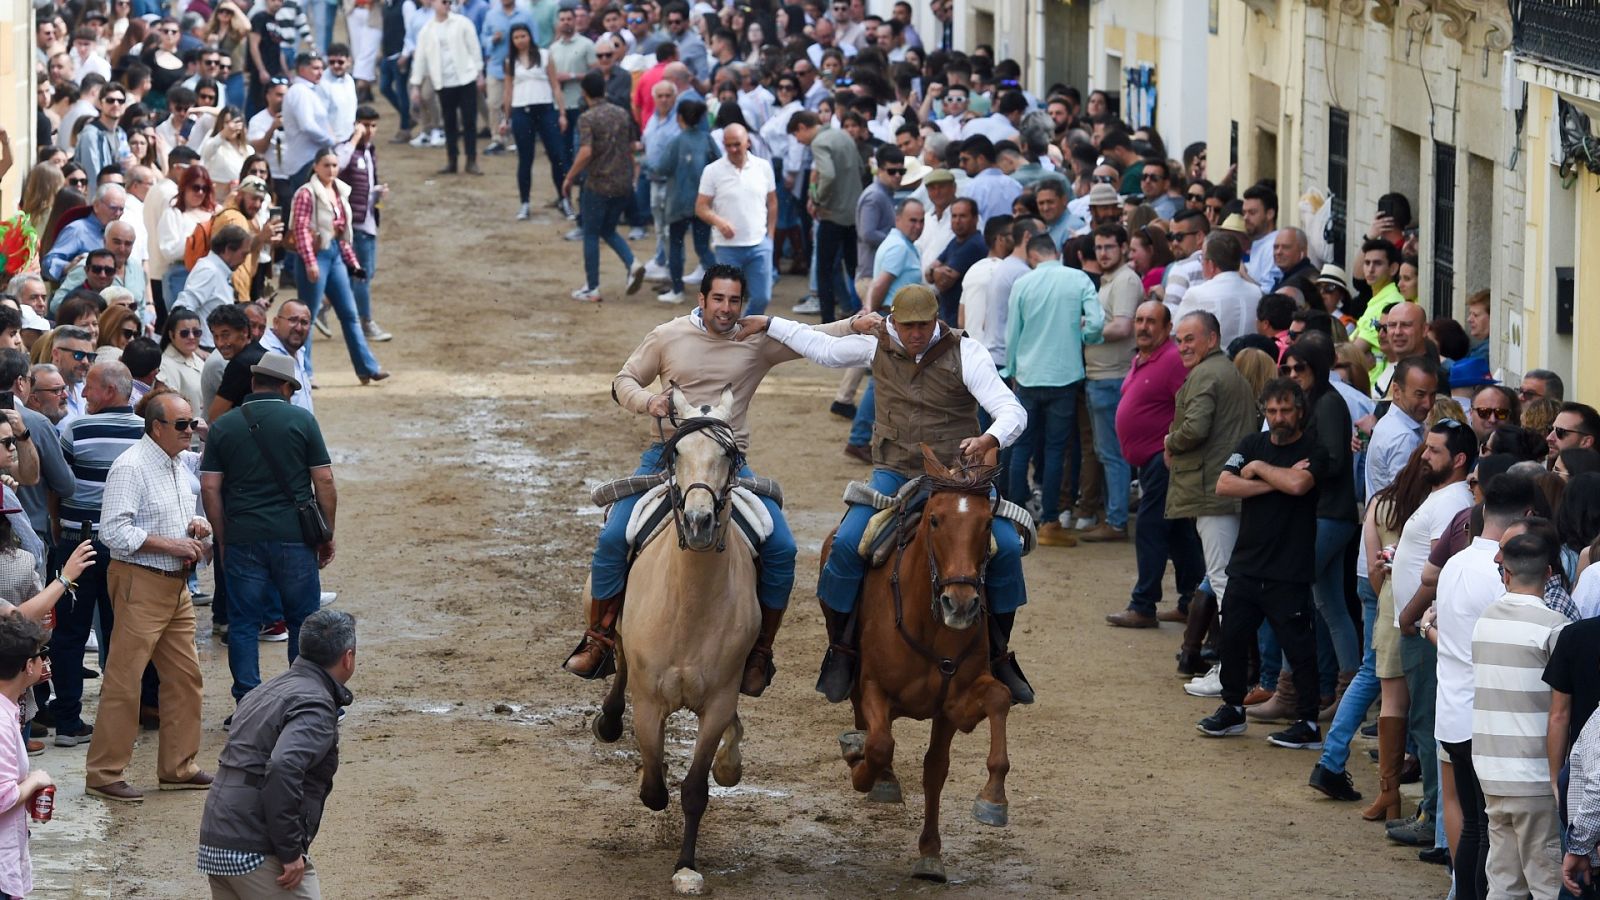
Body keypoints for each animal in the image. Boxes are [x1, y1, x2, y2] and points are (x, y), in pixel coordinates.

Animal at [588, 384, 761, 890]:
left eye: (729, 455)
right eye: (677, 453)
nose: (700, 521)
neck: (691, 605)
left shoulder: (718, 702)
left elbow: (695, 790)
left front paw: (687, 867)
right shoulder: (649, 701)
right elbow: (653, 784)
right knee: (617, 657)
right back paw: (607, 716)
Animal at [825, 445, 1011, 877]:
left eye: (986, 522)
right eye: (935, 519)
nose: (960, 604)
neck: (929, 625)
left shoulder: (954, 706)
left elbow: (941, 764)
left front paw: (989, 802)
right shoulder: (874, 687)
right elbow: (879, 744)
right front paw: (864, 771)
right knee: (866, 721)